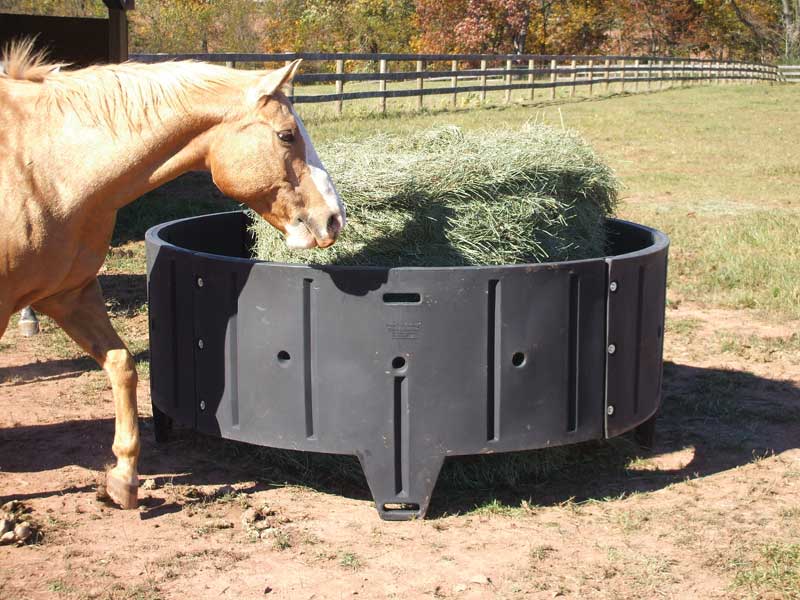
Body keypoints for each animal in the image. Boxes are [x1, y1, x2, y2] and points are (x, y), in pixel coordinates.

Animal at [0, 40, 345, 509]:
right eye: (286, 135)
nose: (333, 219)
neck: (42, 165)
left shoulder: (70, 295)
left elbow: (122, 365)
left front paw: (124, 478)